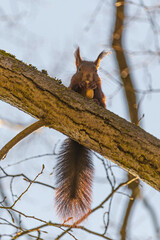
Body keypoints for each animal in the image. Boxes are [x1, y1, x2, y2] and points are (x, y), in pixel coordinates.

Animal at [55, 47, 109, 221]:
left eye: (96, 71)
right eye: (79, 69)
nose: (88, 77)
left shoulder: (101, 92)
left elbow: (102, 101)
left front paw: (94, 92)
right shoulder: (70, 85)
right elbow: (73, 88)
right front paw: (80, 85)